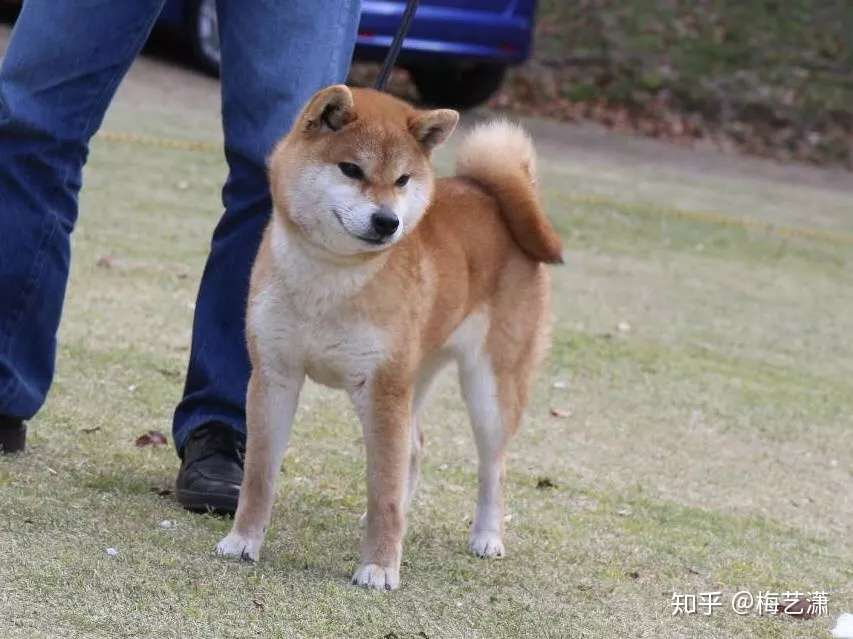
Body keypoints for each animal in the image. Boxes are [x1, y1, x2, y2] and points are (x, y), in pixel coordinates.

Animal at [216, 84, 564, 592]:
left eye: (402, 180)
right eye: (351, 169)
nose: (387, 222)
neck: (331, 276)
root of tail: (487, 192)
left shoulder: (381, 390)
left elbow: (383, 491)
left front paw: (380, 566)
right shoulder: (274, 376)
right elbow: (260, 475)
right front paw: (243, 541)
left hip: (488, 390)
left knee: (492, 467)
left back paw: (486, 536)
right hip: (415, 375)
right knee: (415, 446)